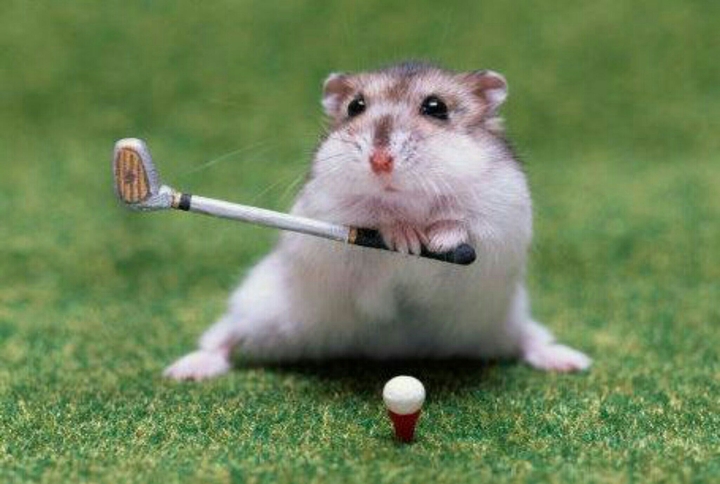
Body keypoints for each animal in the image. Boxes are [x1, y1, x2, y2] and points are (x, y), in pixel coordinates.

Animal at [164, 62, 591, 381]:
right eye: (355, 107)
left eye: (436, 107)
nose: (380, 161)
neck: (407, 200)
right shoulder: (325, 213)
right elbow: (371, 217)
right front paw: (405, 238)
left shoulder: (501, 214)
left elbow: (461, 220)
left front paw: (435, 239)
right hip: (260, 304)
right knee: (225, 334)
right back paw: (184, 371)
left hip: (505, 318)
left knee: (530, 339)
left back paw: (572, 362)